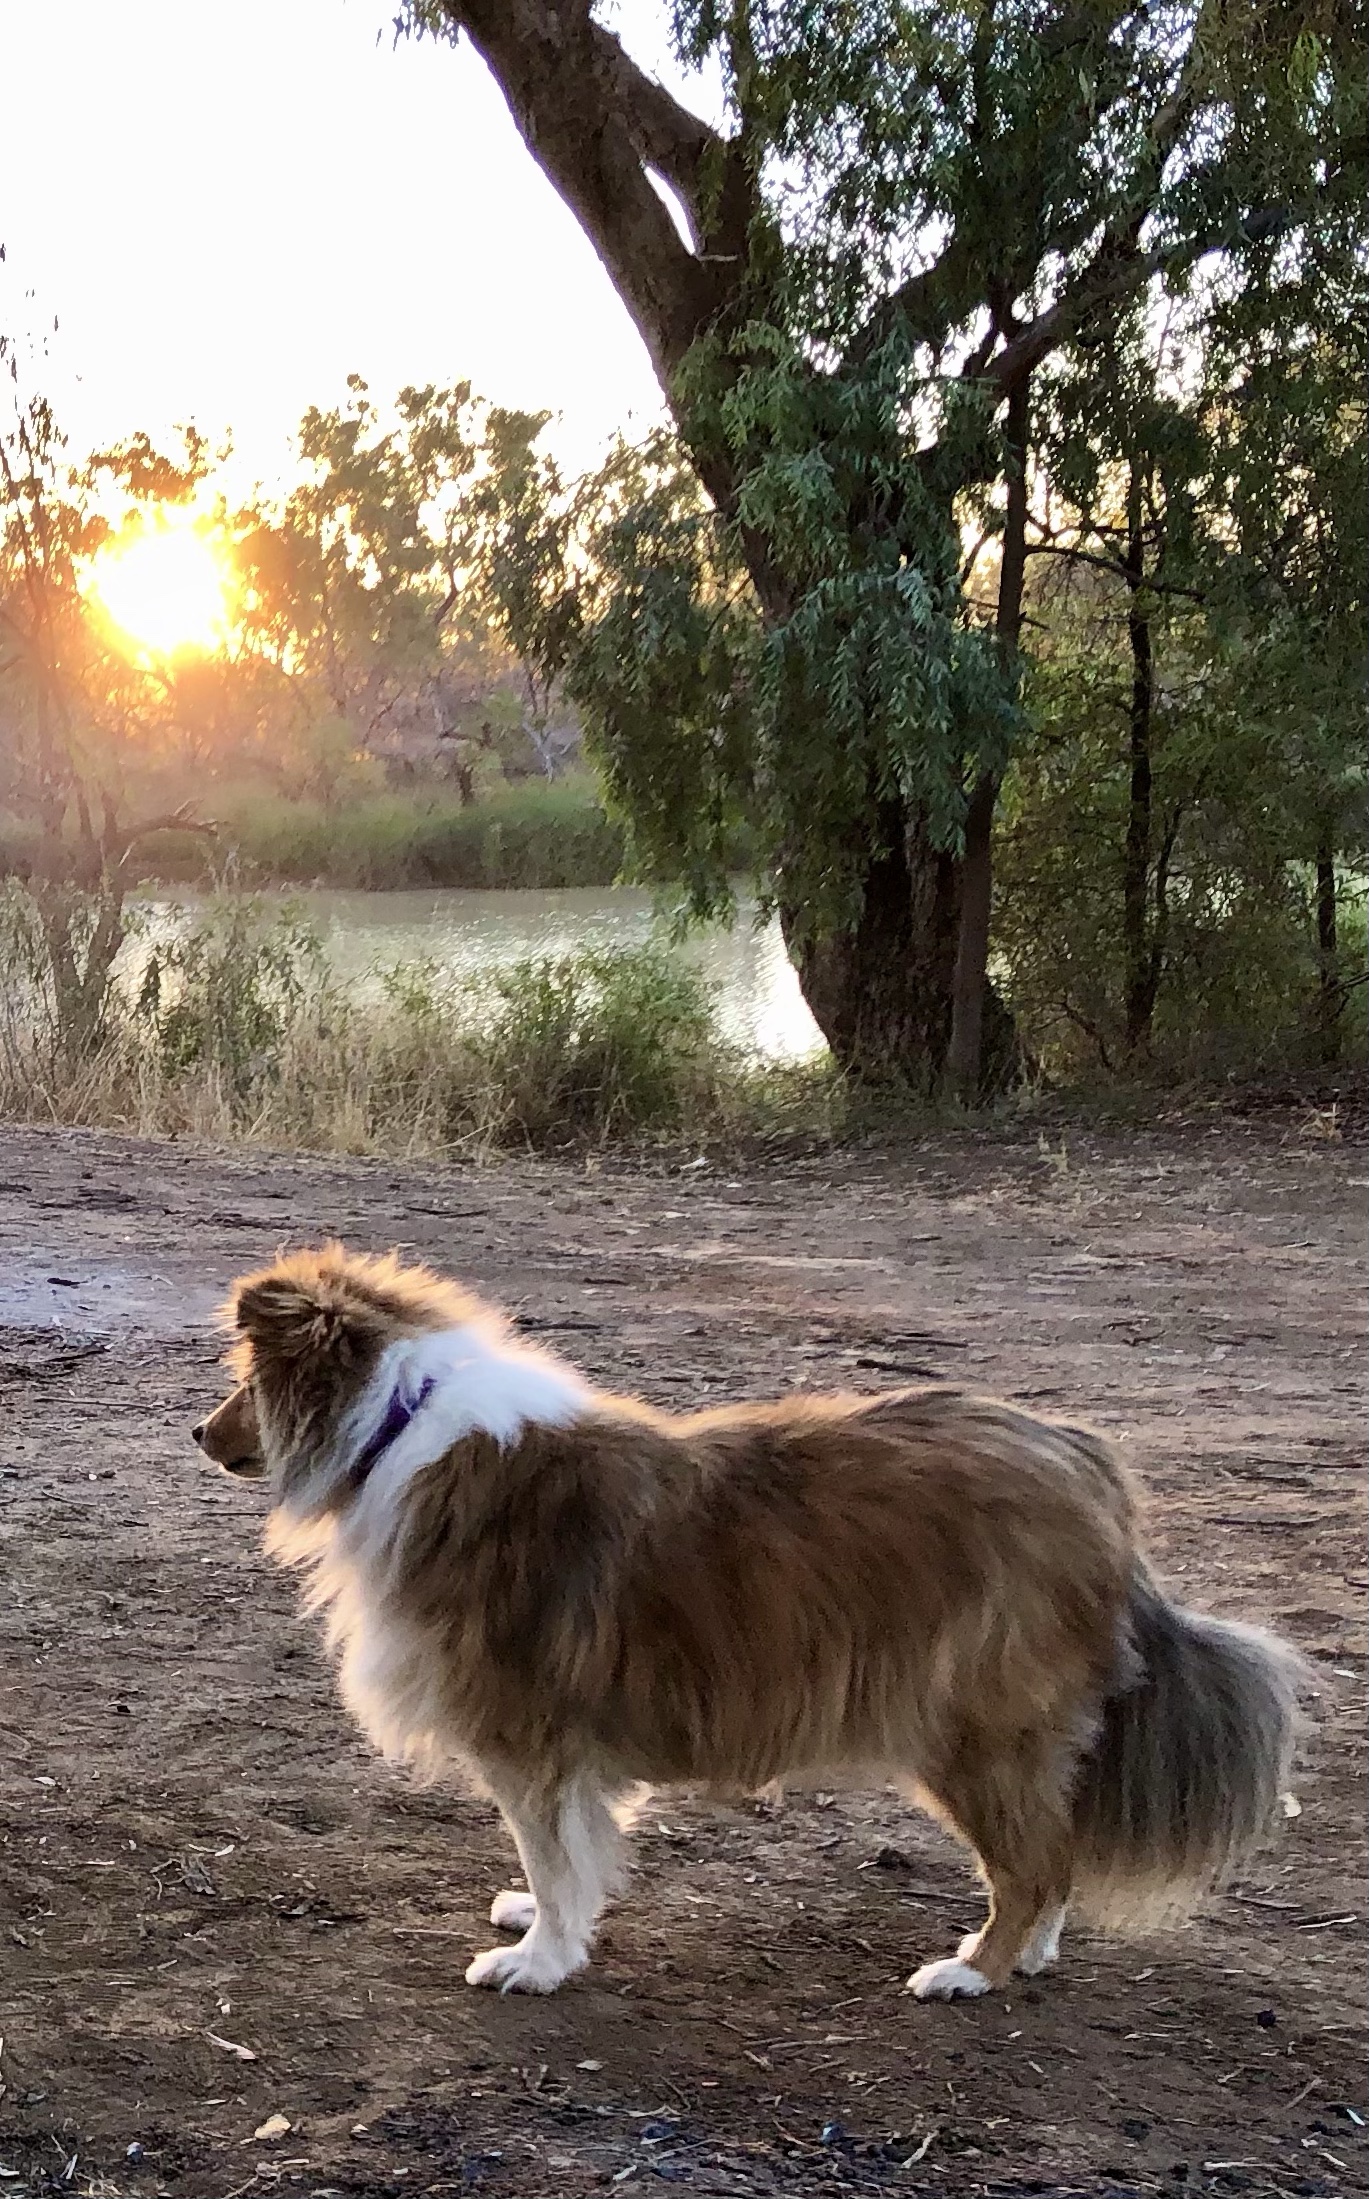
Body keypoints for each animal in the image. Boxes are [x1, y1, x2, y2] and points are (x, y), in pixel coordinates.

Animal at [192, 1243, 1302, 2000]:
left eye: (243, 1383)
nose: (200, 1433)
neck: (399, 1426)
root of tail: (1090, 1472)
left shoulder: (527, 1734)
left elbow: (554, 1853)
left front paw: (538, 1958)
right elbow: (569, 1854)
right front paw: (541, 1919)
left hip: (973, 1729)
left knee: (1033, 1863)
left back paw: (971, 1969)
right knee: (1056, 1852)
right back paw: (1021, 1955)